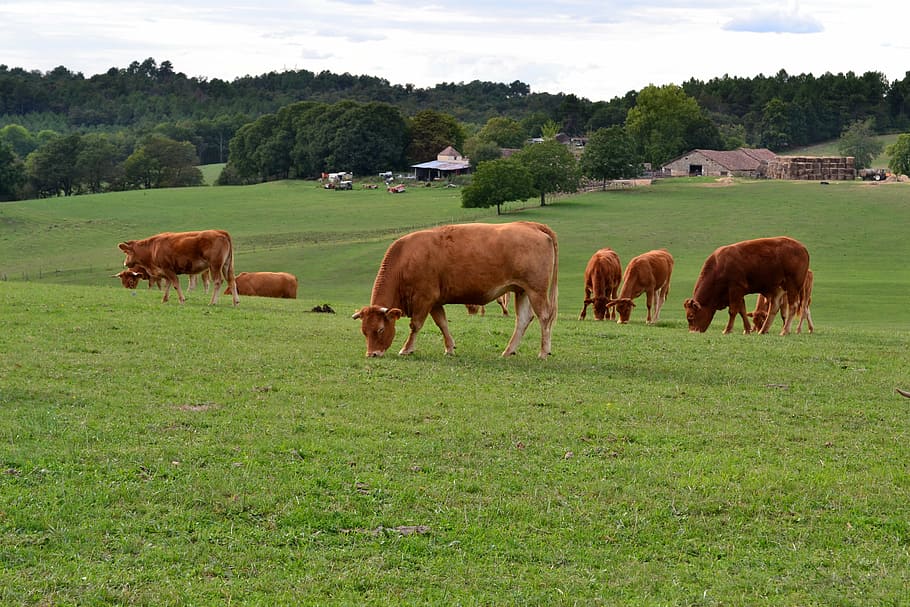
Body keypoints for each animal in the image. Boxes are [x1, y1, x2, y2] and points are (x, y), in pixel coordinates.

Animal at [352, 222, 558, 358]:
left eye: (380, 330)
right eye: (364, 331)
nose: (372, 354)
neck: (405, 260)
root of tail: (530, 225)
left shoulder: (424, 299)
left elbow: (415, 325)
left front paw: (406, 349)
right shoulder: (435, 302)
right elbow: (442, 323)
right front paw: (450, 348)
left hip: (536, 291)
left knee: (544, 318)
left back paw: (543, 352)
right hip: (521, 290)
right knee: (523, 320)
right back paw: (508, 351)